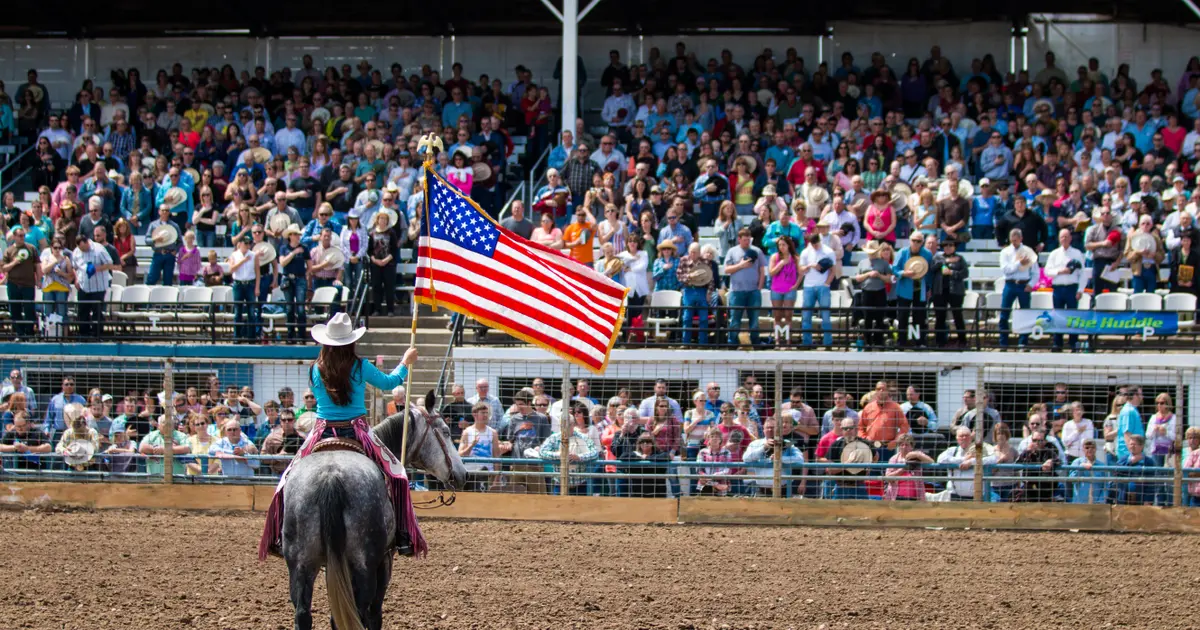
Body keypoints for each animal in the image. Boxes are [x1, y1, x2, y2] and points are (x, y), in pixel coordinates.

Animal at [283, 393, 465, 628]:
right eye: (445, 431)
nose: (462, 474)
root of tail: (330, 476)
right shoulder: (385, 561)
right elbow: (375, 613)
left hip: (301, 564)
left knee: (304, 614)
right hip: (364, 566)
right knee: (361, 612)